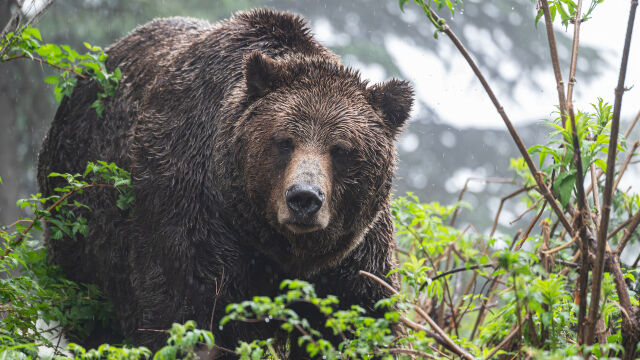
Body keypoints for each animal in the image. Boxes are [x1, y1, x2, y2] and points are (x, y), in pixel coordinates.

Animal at [37, 7, 412, 358]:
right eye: (284, 141)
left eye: (340, 149)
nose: (304, 198)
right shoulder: (192, 215)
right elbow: (187, 315)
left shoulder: (354, 256)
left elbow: (359, 323)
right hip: (81, 231)